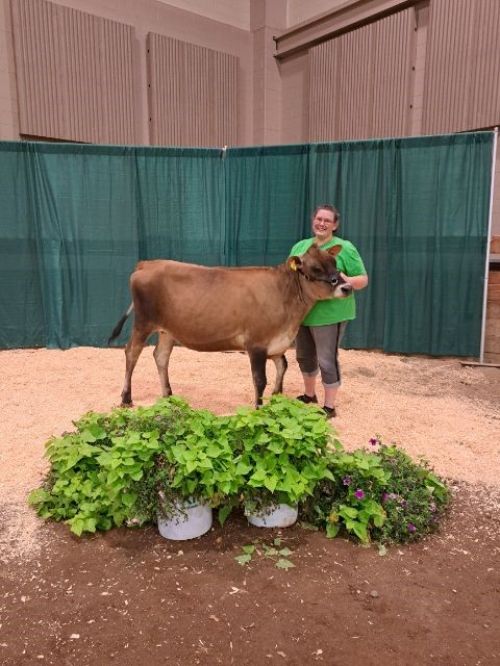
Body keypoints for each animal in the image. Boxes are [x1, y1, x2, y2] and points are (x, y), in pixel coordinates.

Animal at [108, 245, 352, 404]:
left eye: (335, 263)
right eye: (315, 268)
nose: (347, 287)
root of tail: (146, 264)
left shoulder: (276, 343)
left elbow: (282, 367)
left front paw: (276, 399)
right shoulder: (256, 344)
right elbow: (259, 380)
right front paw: (259, 409)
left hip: (167, 330)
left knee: (160, 356)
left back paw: (168, 396)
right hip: (143, 322)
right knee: (132, 352)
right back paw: (126, 398)